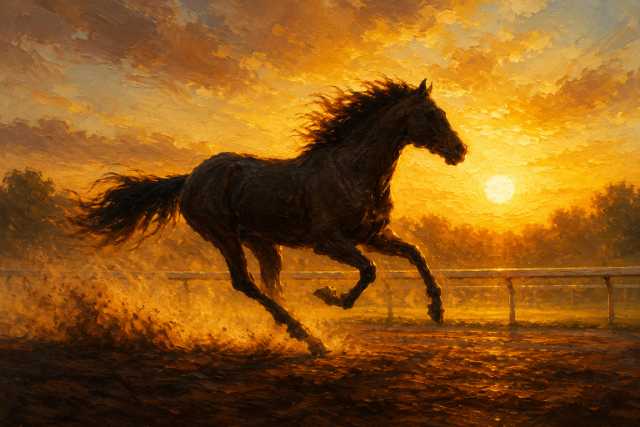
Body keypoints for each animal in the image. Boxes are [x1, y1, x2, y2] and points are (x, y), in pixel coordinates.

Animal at [74, 78, 467, 355]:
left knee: (269, 284)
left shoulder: (372, 235)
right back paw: (309, 338)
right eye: (432, 114)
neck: (353, 170)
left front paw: (436, 309)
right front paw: (330, 296)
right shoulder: (328, 241)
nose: (459, 150)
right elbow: (370, 271)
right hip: (224, 236)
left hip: (261, 241)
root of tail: (189, 178)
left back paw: (301, 334)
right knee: (245, 284)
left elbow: (416, 254)